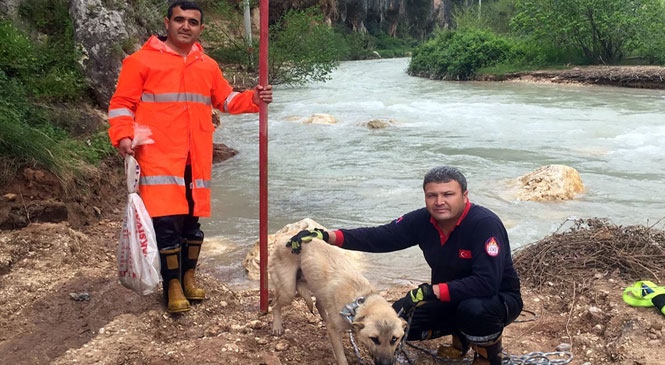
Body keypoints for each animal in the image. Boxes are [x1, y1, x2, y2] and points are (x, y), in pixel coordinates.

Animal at [268, 237, 404, 362]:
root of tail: (284, 238)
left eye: (394, 339)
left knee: (318, 304)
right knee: (275, 305)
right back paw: (277, 326)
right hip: (288, 291)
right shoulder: (334, 331)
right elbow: (341, 357)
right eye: (374, 339)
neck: (360, 302)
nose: (386, 363)